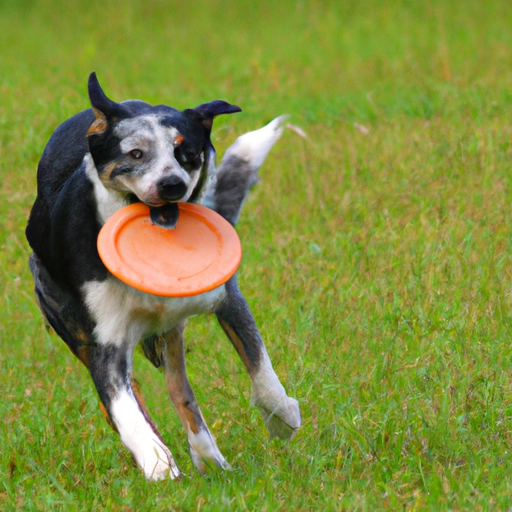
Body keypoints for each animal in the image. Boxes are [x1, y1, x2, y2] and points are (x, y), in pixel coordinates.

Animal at [25, 73, 300, 480]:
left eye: (188, 153)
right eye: (136, 154)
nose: (172, 185)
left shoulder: (225, 297)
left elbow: (261, 370)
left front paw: (282, 419)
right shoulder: (105, 341)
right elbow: (125, 410)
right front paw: (158, 465)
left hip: (171, 333)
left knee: (180, 391)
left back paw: (211, 460)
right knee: (130, 398)